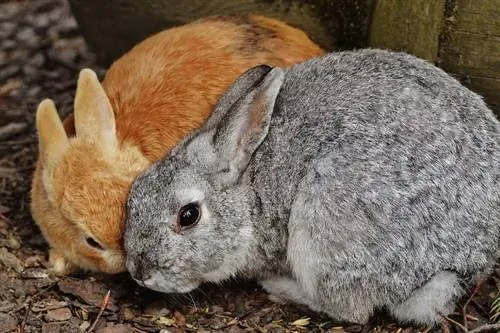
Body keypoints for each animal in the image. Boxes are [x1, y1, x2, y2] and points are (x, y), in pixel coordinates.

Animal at [123, 49, 500, 324]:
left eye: (188, 215)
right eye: (134, 194)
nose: (140, 272)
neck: (251, 190)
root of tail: (464, 261)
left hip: (326, 219)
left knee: (349, 308)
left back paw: (280, 287)